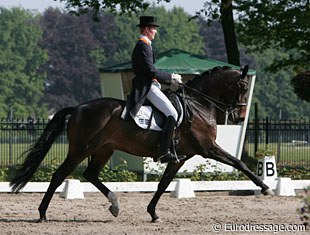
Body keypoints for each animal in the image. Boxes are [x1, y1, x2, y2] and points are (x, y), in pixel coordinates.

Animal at [9, 65, 272, 222]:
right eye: (242, 87)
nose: (238, 116)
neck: (198, 104)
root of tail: (78, 108)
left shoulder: (181, 157)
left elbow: (163, 184)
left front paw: (153, 213)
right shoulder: (207, 149)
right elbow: (239, 163)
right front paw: (264, 186)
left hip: (104, 150)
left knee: (91, 174)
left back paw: (115, 205)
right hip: (80, 149)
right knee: (59, 176)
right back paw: (42, 213)